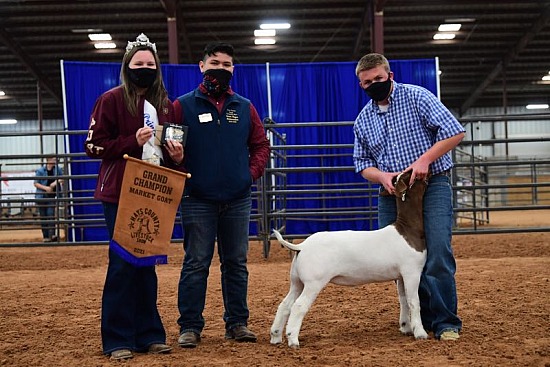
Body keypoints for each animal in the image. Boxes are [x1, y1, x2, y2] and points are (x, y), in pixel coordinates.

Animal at [272, 171, 432, 350]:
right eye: (409, 176)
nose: (426, 172)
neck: (407, 230)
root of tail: (303, 246)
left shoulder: (400, 276)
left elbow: (403, 299)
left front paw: (406, 327)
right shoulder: (412, 272)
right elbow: (414, 301)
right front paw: (420, 333)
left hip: (297, 281)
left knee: (285, 304)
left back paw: (276, 337)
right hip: (313, 282)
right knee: (298, 306)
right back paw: (293, 339)